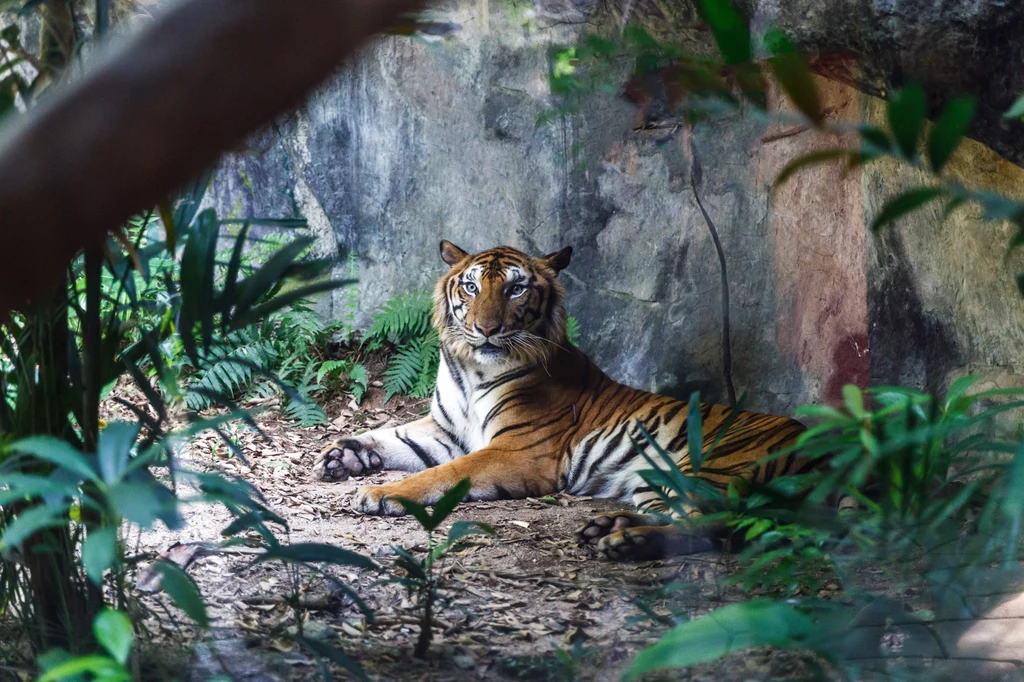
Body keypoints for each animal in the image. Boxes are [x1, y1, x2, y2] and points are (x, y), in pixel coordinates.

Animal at [315, 240, 811, 557]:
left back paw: (625, 542)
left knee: (718, 525)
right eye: (471, 287)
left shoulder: (519, 450)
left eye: (515, 288)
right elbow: (391, 434)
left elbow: (446, 473)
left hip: (710, 466)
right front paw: (342, 455)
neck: (473, 370)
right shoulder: (445, 429)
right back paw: (610, 528)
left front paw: (382, 492)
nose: (486, 329)